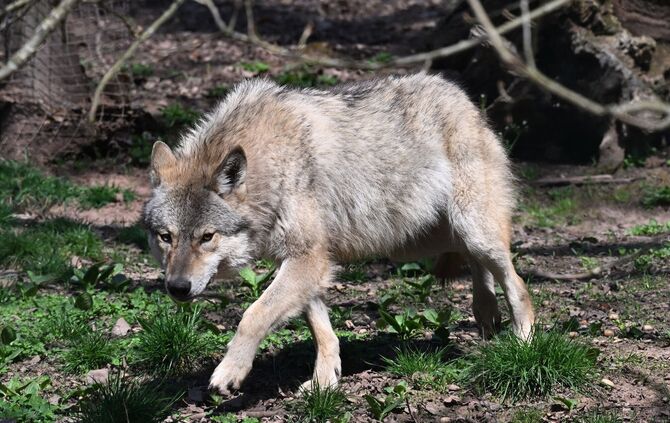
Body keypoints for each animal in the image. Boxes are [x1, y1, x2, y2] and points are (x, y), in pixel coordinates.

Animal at [143, 73, 535, 394]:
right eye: (166, 237)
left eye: (206, 237)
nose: (177, 288)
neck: (271, 165)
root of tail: (465, 99)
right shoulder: (308, 261)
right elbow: (322, 331)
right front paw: (324, 381)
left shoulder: (308, 258)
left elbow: (253, 315)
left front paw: (230, 372)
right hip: (418, 241)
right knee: (474, 262)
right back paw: (486, 313)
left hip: (469, 229)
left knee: (516, 283)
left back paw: (523, 342)